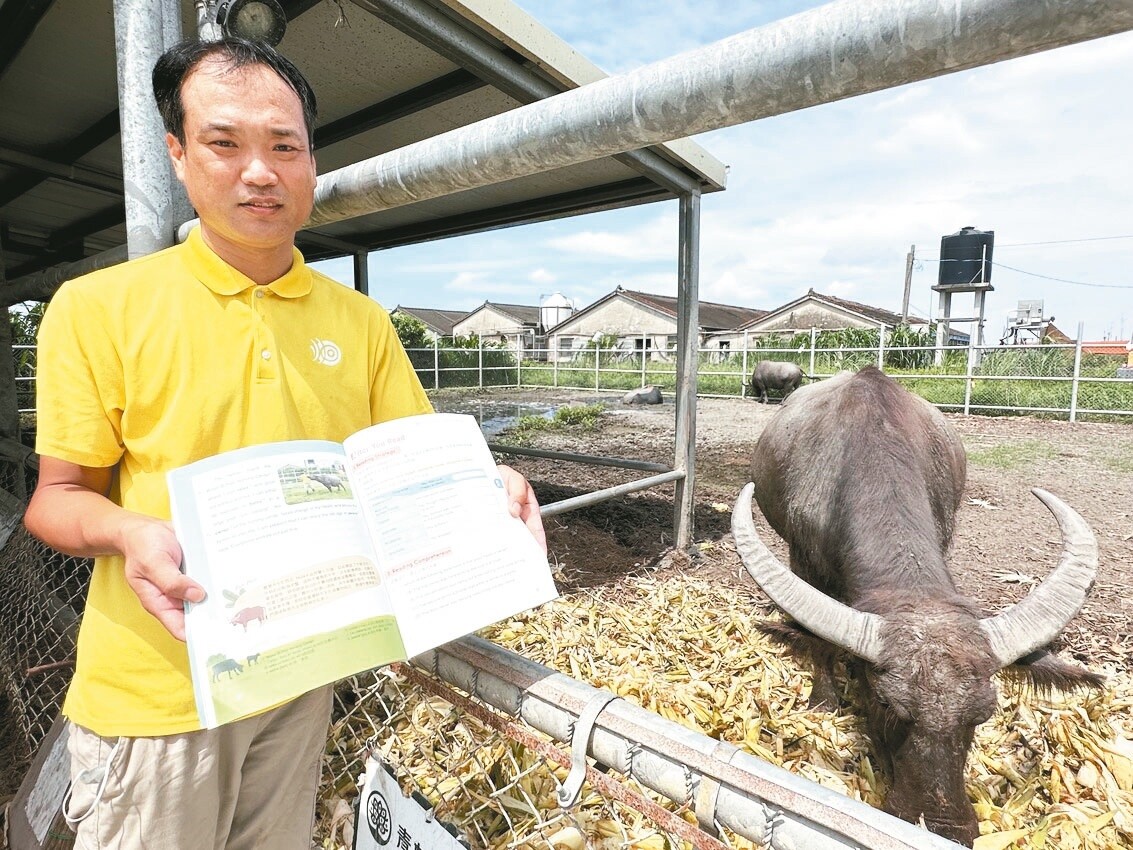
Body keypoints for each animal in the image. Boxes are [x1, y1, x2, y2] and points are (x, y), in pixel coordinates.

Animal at [734, 367, 1096, 850]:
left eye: (983, 714)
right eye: (887, 704)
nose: (943, 827)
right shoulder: (801, 560)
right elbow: (817, 643)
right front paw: (824, 698)